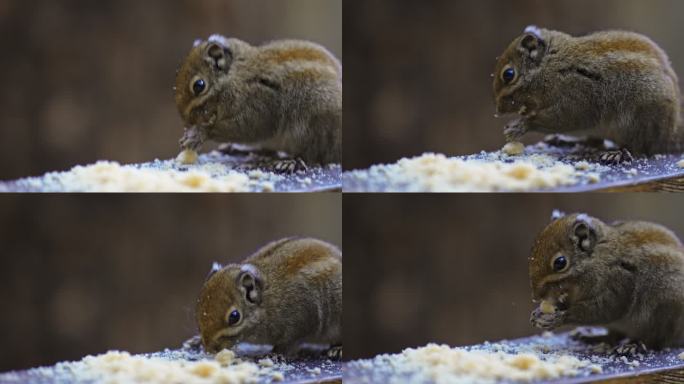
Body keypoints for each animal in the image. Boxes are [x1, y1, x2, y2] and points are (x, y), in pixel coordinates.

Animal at [174, 35, 340, 173]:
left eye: (199, 86)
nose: (187, 121)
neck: (233, 76)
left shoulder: (259, 105)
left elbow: (247, 127)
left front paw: (198, 134)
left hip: (313, 123)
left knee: (312, 156)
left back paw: (291, 162)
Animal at [194, 237, 342, 356]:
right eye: (198, 310)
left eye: (234, 317)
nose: (209, 349)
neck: (266, 299)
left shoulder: (301, 322)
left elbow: (289, 343)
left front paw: (276, 354)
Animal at [494, 25, 680, 164]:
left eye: (508, 74)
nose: (499, 110)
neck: (549, 66)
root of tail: (671, 132)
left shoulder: (574, 100)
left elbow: (560, 119)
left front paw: (520, 126)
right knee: (594, 141)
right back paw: (568, 141)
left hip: (636, 123)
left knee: (637, 148)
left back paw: (618, 153)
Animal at [528, 212, 684, 350]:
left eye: (560, 263)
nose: (536, 297)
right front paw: (538, 313)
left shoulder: (617, 282)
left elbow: (605, 309)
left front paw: (558, 318)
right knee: (614, 336)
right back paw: (594, 338)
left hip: (662, 310)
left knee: (656, 341)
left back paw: (634, 346)